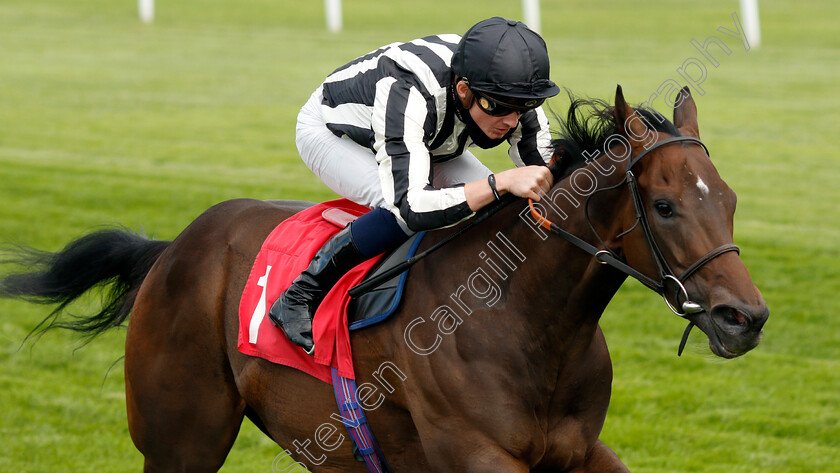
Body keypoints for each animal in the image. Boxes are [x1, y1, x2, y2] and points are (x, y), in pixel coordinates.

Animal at [1, 85, 768, 472]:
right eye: (664, 205)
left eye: (729, 198)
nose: (746, 317)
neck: (530, 323)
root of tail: (173, 248)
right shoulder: (476, 454)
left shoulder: (577, 454)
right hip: (180, 437)